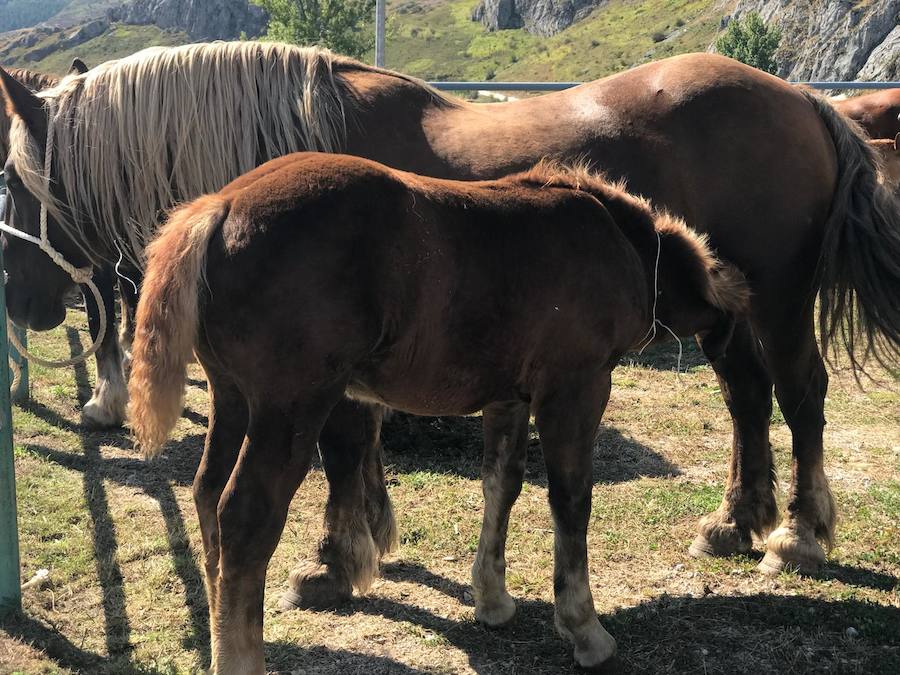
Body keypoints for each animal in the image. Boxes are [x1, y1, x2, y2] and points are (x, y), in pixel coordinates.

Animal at [0, 46, 896, 604]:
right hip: (719, 312)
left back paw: (799, 535)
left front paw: (336, 560)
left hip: (779, 301)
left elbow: (342, 450)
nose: (20, 304)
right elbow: (356, 449)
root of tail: (805, 100)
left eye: (9, 181)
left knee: (800, 392)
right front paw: (366, 539)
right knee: (747, 396)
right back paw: (735, 522)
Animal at [125, 151, 744, 672]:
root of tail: (220, 205)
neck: (617, 241)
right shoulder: (576, 388)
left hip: (232, 399)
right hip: (290, 409)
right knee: (245, 518)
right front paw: (584, 629)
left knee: (206, 495)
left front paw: (492, 599)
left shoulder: (507, 398)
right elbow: (571, 500)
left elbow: (502, 484)